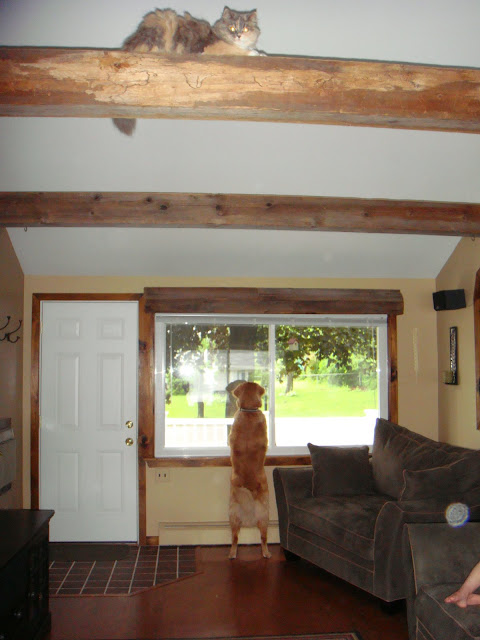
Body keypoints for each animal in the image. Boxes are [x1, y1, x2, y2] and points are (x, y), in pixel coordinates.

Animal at [113, 5, 262, 136]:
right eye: (231, 27)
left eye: (246, 28)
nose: (238, 35)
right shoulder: (216, 48)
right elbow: (239, 50)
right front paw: (258, 53)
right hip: (166, 21)